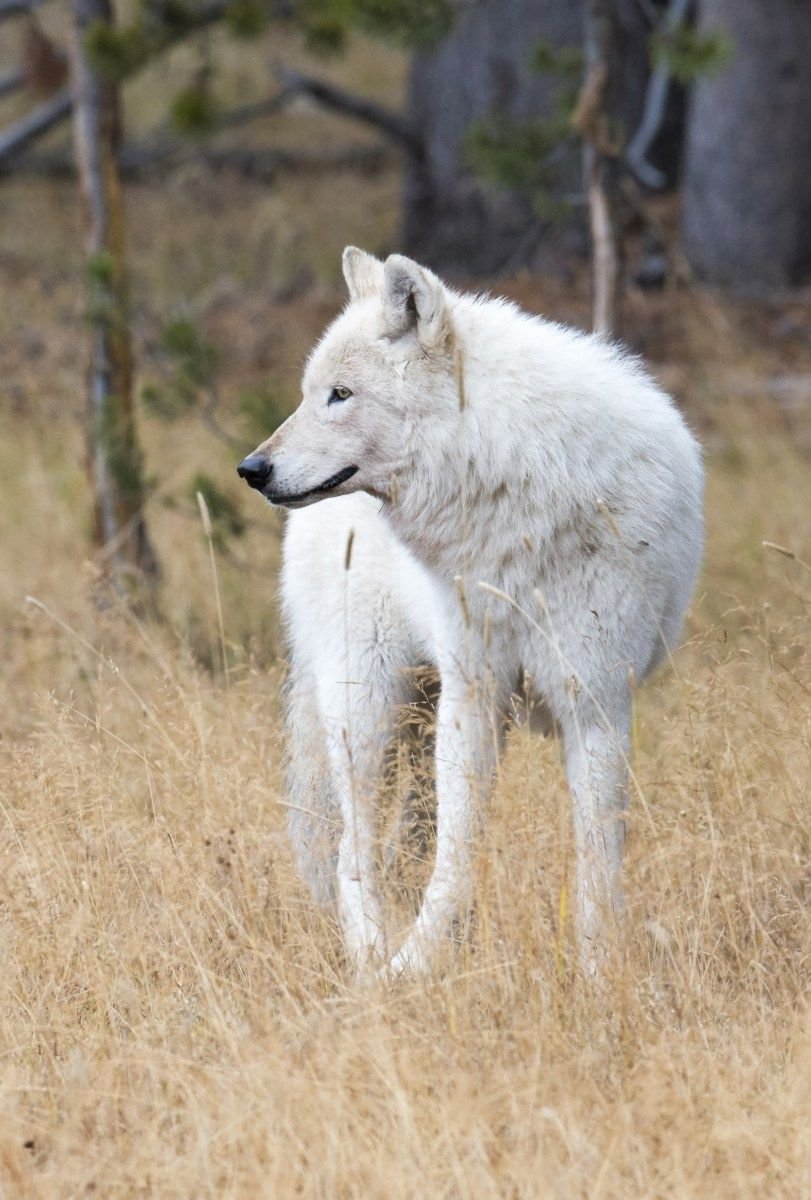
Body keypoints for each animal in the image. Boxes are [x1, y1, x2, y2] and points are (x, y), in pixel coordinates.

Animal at [237, 247, 704, 977]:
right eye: (312, 392)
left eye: (339, 395)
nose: (251, 468)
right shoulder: (475, 696)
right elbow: (458, 856)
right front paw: (414, 969)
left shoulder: (595, 701)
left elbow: (597, 861)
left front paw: (599, 974)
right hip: (369, 706)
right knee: (351, 852)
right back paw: (371, 959)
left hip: (420, 715)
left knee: (395, 845)